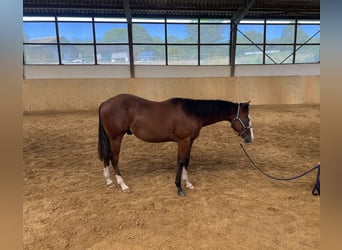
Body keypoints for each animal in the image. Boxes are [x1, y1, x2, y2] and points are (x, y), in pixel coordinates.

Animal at [97, 93, 252, 196]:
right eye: (247, 118)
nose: (250, 138)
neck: (192, 113)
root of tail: (105, 103)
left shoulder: (190, 141)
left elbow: (186, 161)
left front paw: (187, 183)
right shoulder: (183, 141)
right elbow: (180, 161)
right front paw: (179, 188)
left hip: (110, 138)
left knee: (107, 156)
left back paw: (109, 181)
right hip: (116, 137)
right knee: (114, 158)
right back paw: (123, 185)